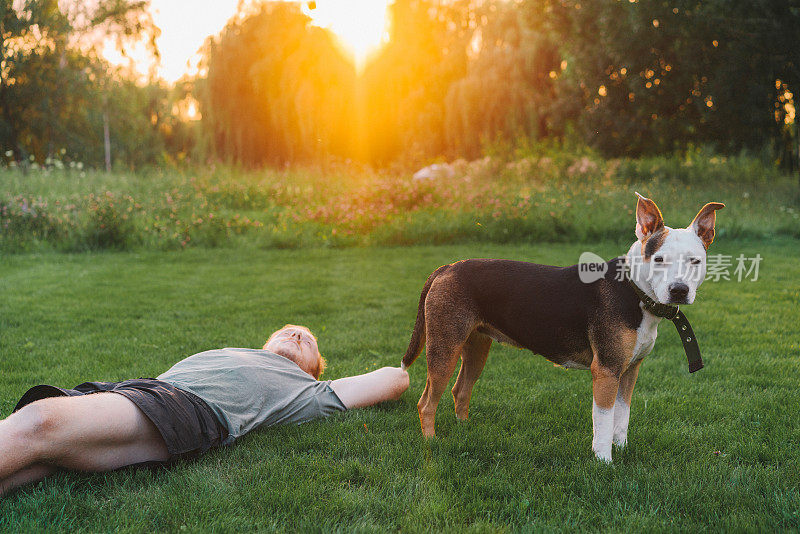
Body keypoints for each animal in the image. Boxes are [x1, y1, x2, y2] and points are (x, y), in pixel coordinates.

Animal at [404, 195, 720, 462]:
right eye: (658, 259)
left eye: (696, 261)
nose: (679, 291)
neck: (633, 289)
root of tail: (446, 268)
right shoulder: (606, 371)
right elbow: (603, 421)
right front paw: (604, 462)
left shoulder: (629, 370)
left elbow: (622, 417)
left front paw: (622, 448)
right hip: (444, 348)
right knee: (426, 402)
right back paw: (432, 443)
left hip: (476, 347)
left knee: (460, 390)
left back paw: (465, 430)